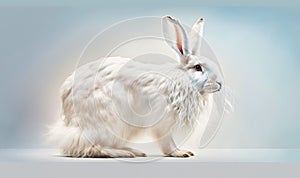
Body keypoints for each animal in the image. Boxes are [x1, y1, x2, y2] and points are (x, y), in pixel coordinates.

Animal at [48, 16, 223, 158]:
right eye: (198, 67)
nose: (220, 84)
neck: (183, 79)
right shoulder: (162, 119)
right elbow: (167, 141)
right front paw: (180, 153)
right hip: (105, 123)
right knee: (85, 146)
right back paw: (123, 152)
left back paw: (133, 150)